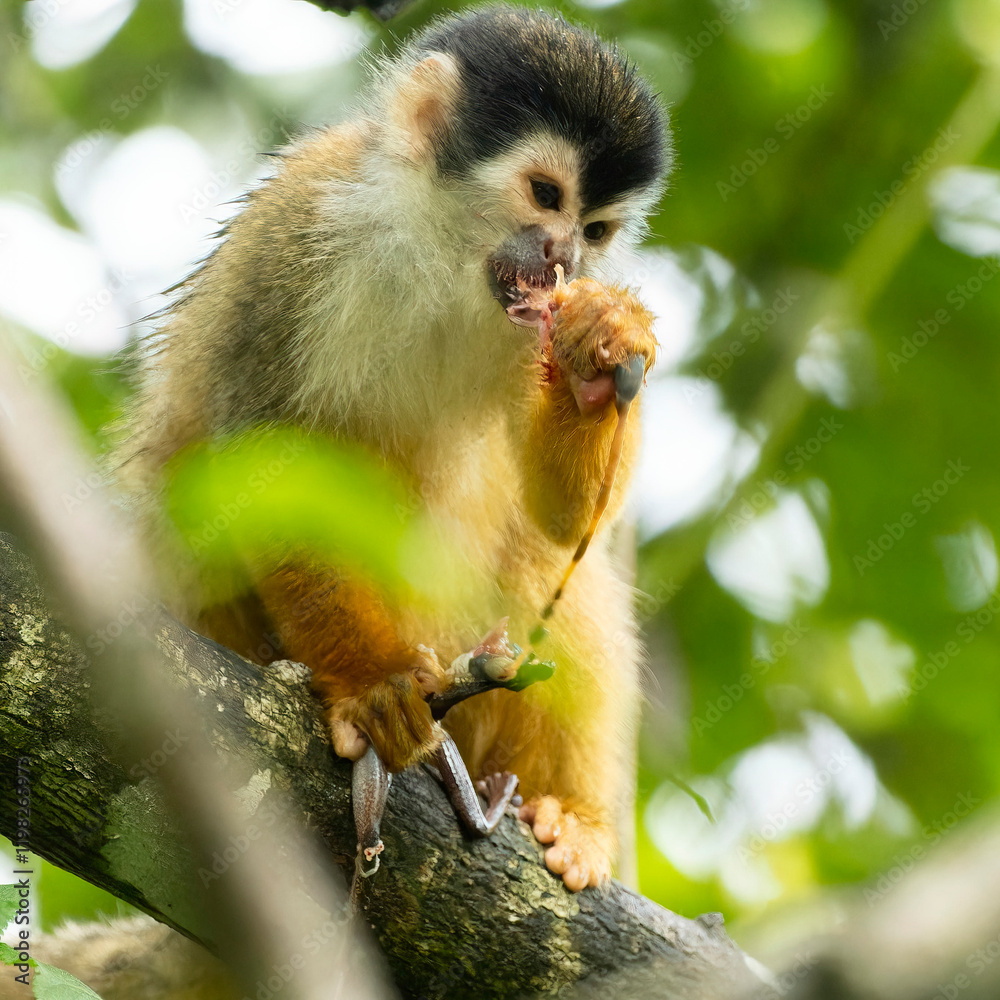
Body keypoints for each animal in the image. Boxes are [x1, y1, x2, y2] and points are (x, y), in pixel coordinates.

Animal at [116, 3, 670, 894]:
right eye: (545, 194)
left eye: (596, 229)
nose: (566, 256)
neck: (445, 261)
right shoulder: (298, 235)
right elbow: (265, 469)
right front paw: (375, 689)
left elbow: (562, 518)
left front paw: (600, 346)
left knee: (543, 561)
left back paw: (572, 815)